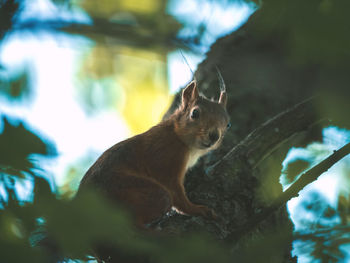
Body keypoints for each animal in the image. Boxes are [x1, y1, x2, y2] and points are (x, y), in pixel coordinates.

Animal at [78, 81, 231, 227]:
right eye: (195, 113)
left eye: (228, 124)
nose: (214, 136)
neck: (178, 137)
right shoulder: (165, 159)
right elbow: (177, 195)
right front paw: (197, 209)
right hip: (134, 191)